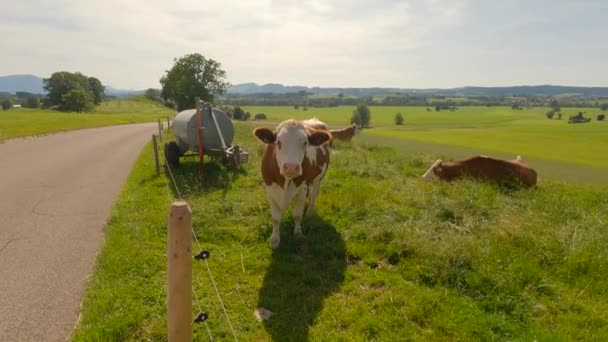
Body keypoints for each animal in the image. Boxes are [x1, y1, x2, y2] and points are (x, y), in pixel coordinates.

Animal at [254, 119, 334, 247]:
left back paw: (309, 213)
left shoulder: (303, 191)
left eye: (306, 143)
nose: (291, 167)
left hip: (319, 179)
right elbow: (275, 218)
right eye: (278, 142)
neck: (285, 182)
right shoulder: (270, 191)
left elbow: (297, 215)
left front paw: (298, 234)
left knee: (314, 195)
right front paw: (274, 240)